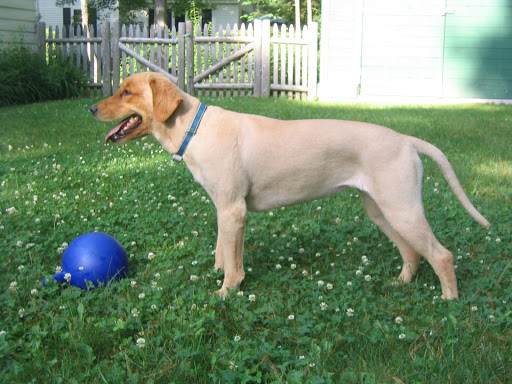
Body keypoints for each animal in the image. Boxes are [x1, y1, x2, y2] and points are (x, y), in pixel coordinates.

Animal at [90, 72, 490, 300]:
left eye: (127, 92)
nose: (91, 109)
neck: (194, 128)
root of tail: (406, 139)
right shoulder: (224, 209)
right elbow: (223, 251)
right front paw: (221, 274)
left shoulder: (233, 209)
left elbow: (233, 263)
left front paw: (226, 292)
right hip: (382, 211)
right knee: (412, 253)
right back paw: (401, 284)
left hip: (402, 208)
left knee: (441, 255)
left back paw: (449, 301)